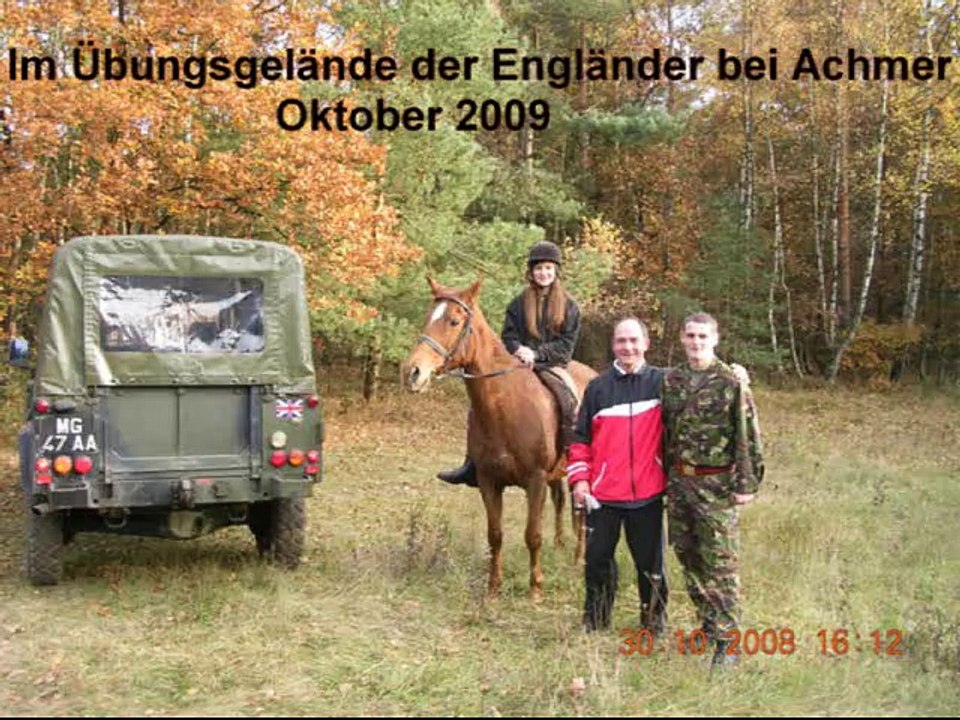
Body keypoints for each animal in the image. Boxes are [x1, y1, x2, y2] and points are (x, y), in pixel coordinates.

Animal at [404, 278, 597, 601]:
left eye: (454, 321)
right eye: (428, 317)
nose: (412, 372)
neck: (506, 408)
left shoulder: (535, 480)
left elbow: (533, 535)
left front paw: (535, 589)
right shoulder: (489, 481)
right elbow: (495, 535)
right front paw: (493, 587)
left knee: (582, 514)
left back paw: (579, 559)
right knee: (561, 503)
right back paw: (561, 546)